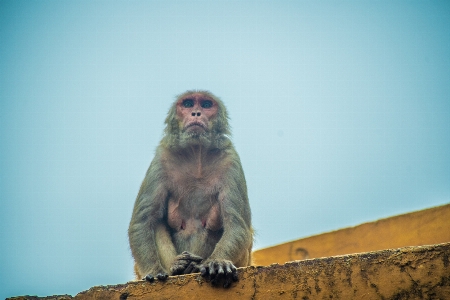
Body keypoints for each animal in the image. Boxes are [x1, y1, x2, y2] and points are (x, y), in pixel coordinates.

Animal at [128, 90, 253, 288]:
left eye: (206, 105)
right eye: (187, 104)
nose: (196, 113)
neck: (196, 153)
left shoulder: (231, 160)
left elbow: (237, 223)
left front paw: (218, 262)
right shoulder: (161, 158)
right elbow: (143, 220)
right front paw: (153, 271)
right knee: (156, 222)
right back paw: (179, 267)